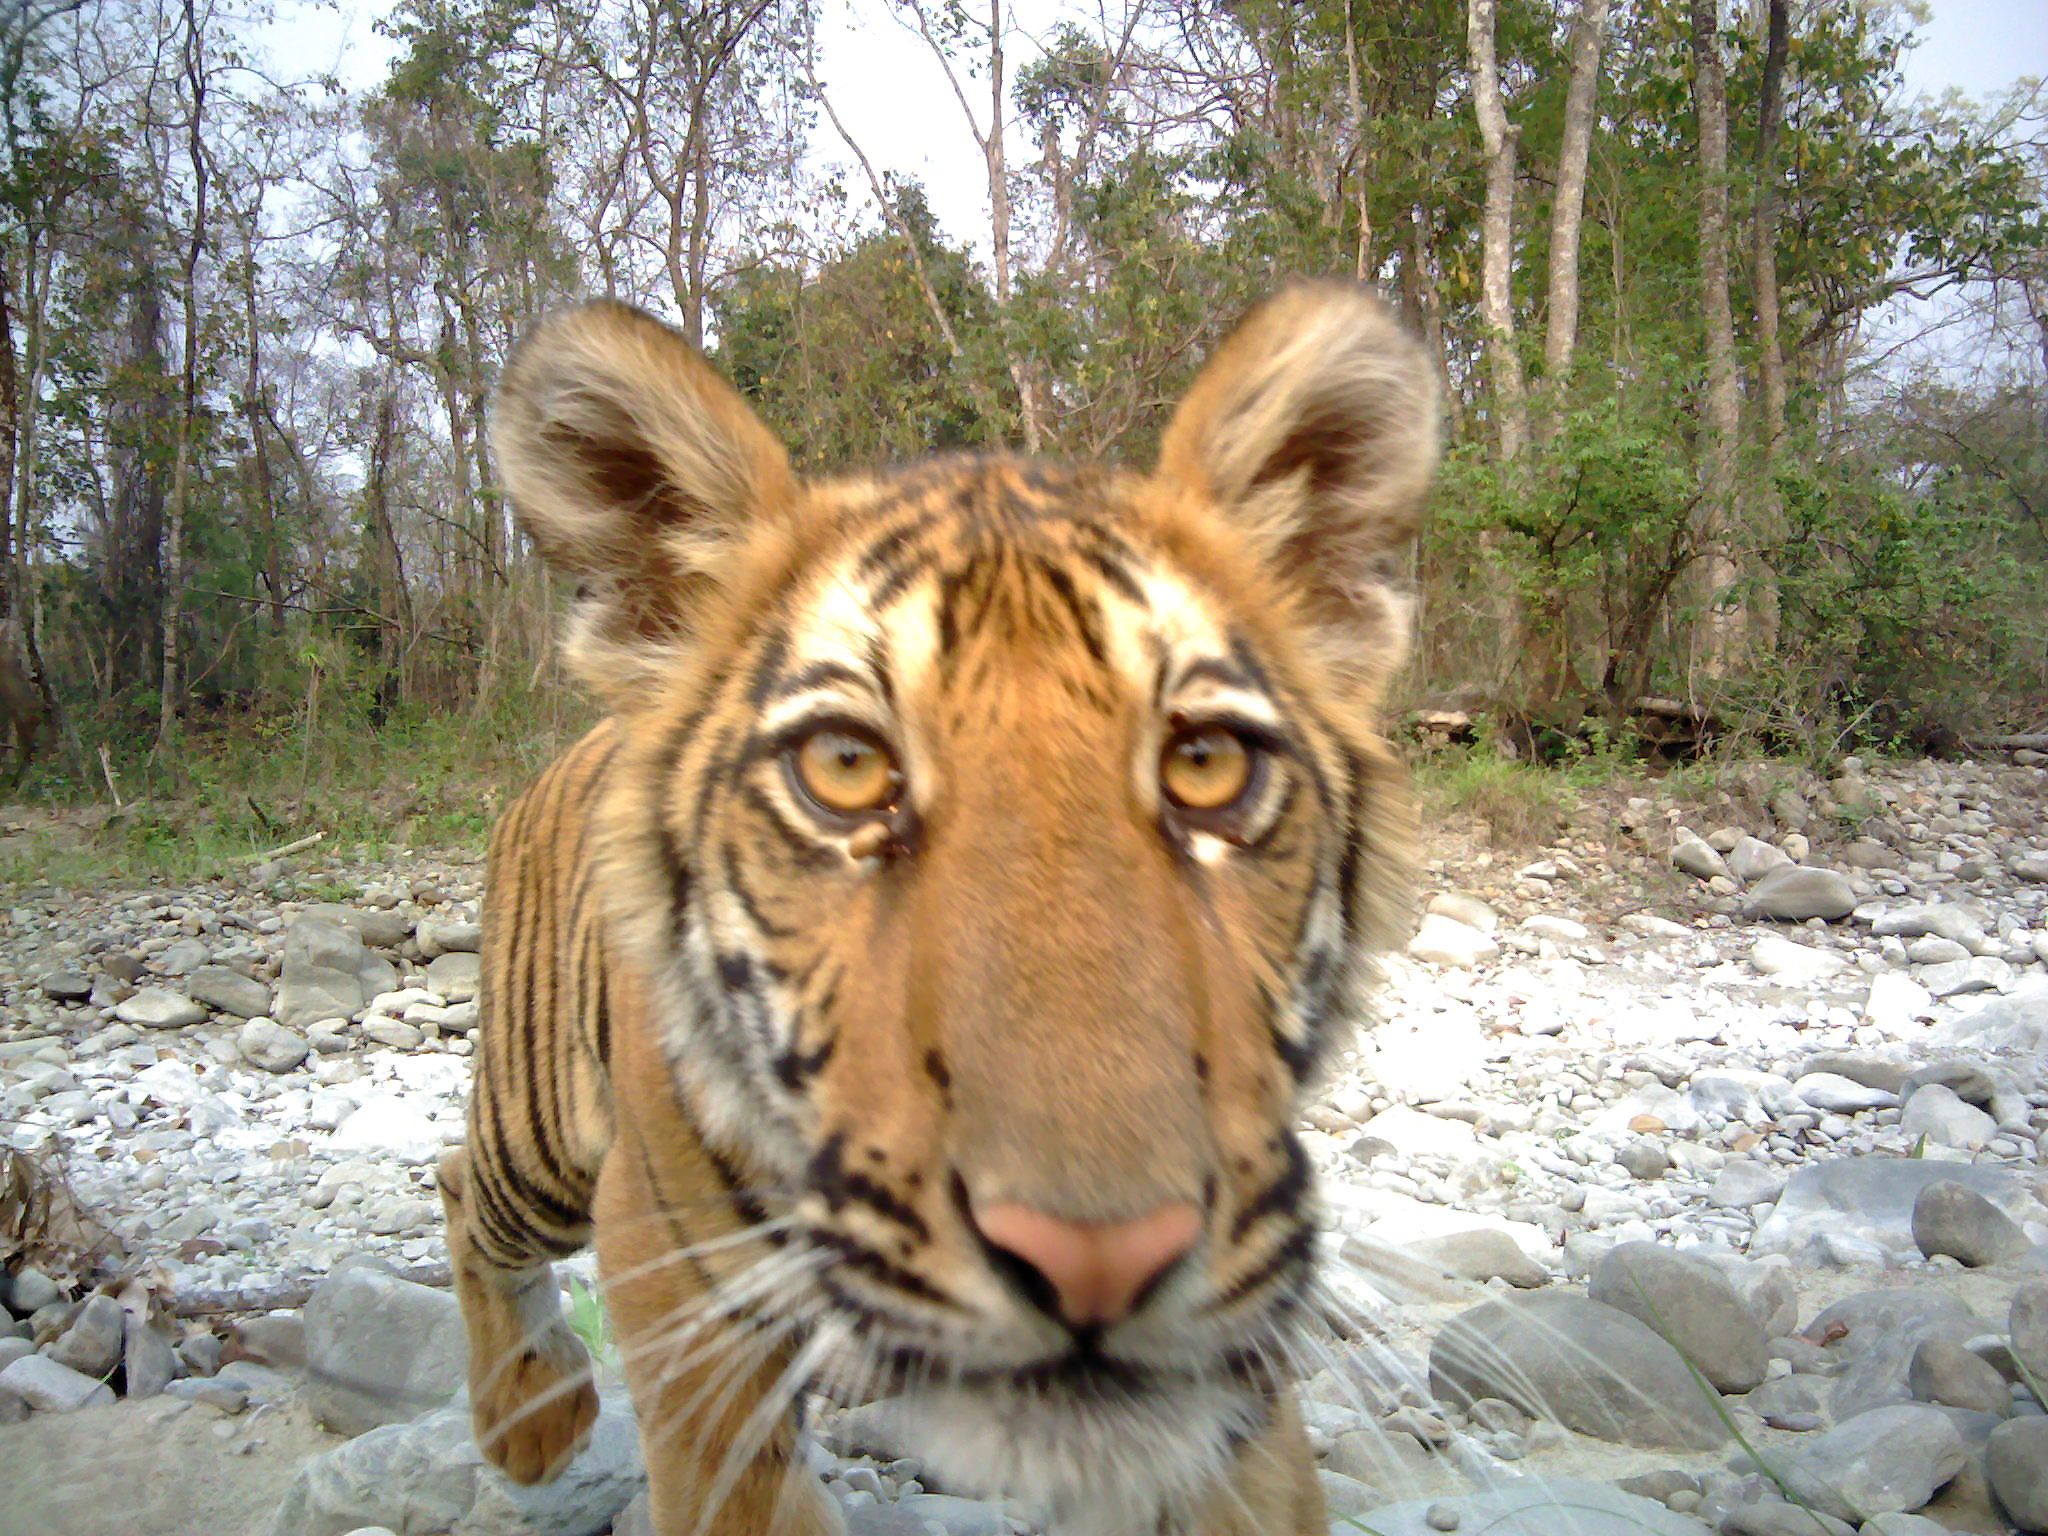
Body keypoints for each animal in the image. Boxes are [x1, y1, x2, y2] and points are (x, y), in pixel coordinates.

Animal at [436, 280, 1441, 1536]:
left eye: (1203, 764)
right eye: (844, 768)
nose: (1099, 1259)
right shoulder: (683, 1291)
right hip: (542, 1141)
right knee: (458, 1186)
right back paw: (528, 1415)